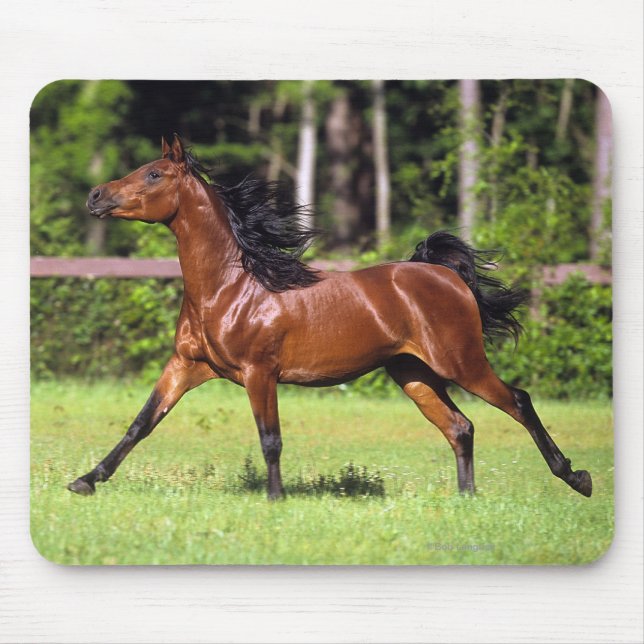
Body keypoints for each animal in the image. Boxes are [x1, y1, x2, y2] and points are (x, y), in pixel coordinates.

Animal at [67, 134, 592, 500]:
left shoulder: (259, 373)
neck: (231, 288)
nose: (94, 196)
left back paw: (576, 477)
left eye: (154, 174)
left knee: (518, 401)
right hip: (414, 373)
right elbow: (141, 423)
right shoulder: (187, 365)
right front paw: (86, 480)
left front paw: (275, 499)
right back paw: (467, 498)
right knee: (460, 428)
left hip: (461, 363)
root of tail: (445, 275)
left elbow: (271, 439)